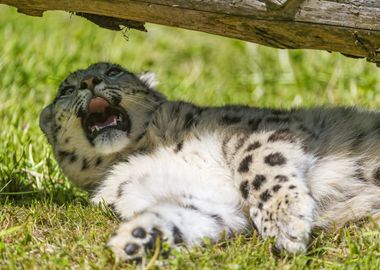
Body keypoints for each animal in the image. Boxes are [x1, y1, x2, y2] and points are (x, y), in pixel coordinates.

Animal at [39, 62, 380, 262]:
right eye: (66, 89)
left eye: (113, 71)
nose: (89, 80)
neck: (133, 153)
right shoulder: (208, 199)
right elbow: (187, 214)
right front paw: (137, 239)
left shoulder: (255, 131)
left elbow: (257, 166)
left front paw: (285, 224)